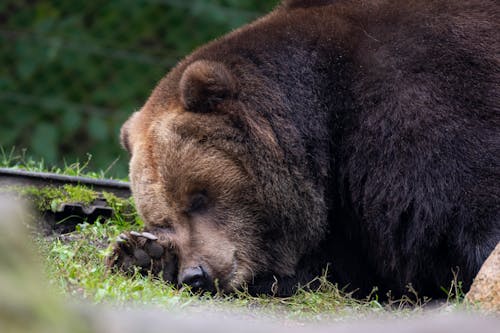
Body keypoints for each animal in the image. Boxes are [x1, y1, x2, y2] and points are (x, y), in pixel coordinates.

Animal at [106, 0, 500, 296]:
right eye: (162, 218)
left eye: (198, 197)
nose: (196, 274)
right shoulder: (343, 214)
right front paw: (144, 253)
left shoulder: (415, 98)